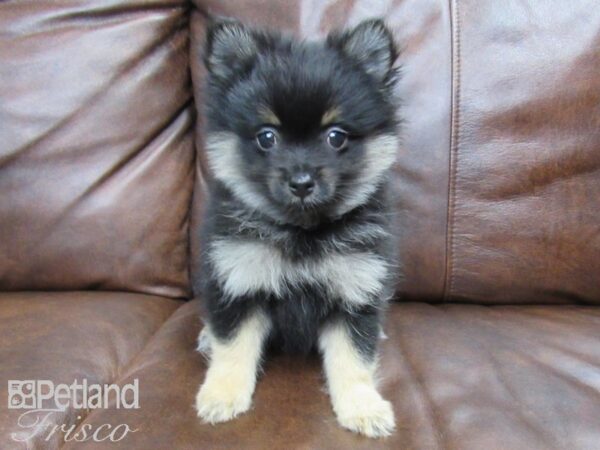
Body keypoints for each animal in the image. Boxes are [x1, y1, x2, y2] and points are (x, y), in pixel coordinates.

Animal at [195, 15, 400, 438]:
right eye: (266, 136)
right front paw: (222, 394)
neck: (302, 232)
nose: (302, 181)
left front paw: (362, 406)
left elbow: (354, 359)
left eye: (336, 136)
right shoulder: (237, 281)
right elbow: (233, 347)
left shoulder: (354, 290)